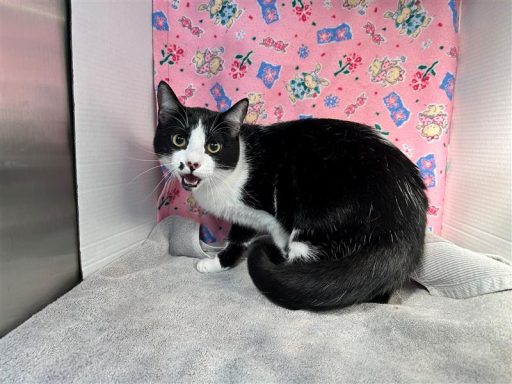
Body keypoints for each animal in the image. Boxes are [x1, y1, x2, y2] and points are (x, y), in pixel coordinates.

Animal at [153, 82, 428, 312]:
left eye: (213, 146)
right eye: (179, 140)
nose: (191, 164)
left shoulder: (272, 214)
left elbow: (270, 236)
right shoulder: (243, 216)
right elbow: (237, 239)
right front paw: (217, 263)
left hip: (320, 219)